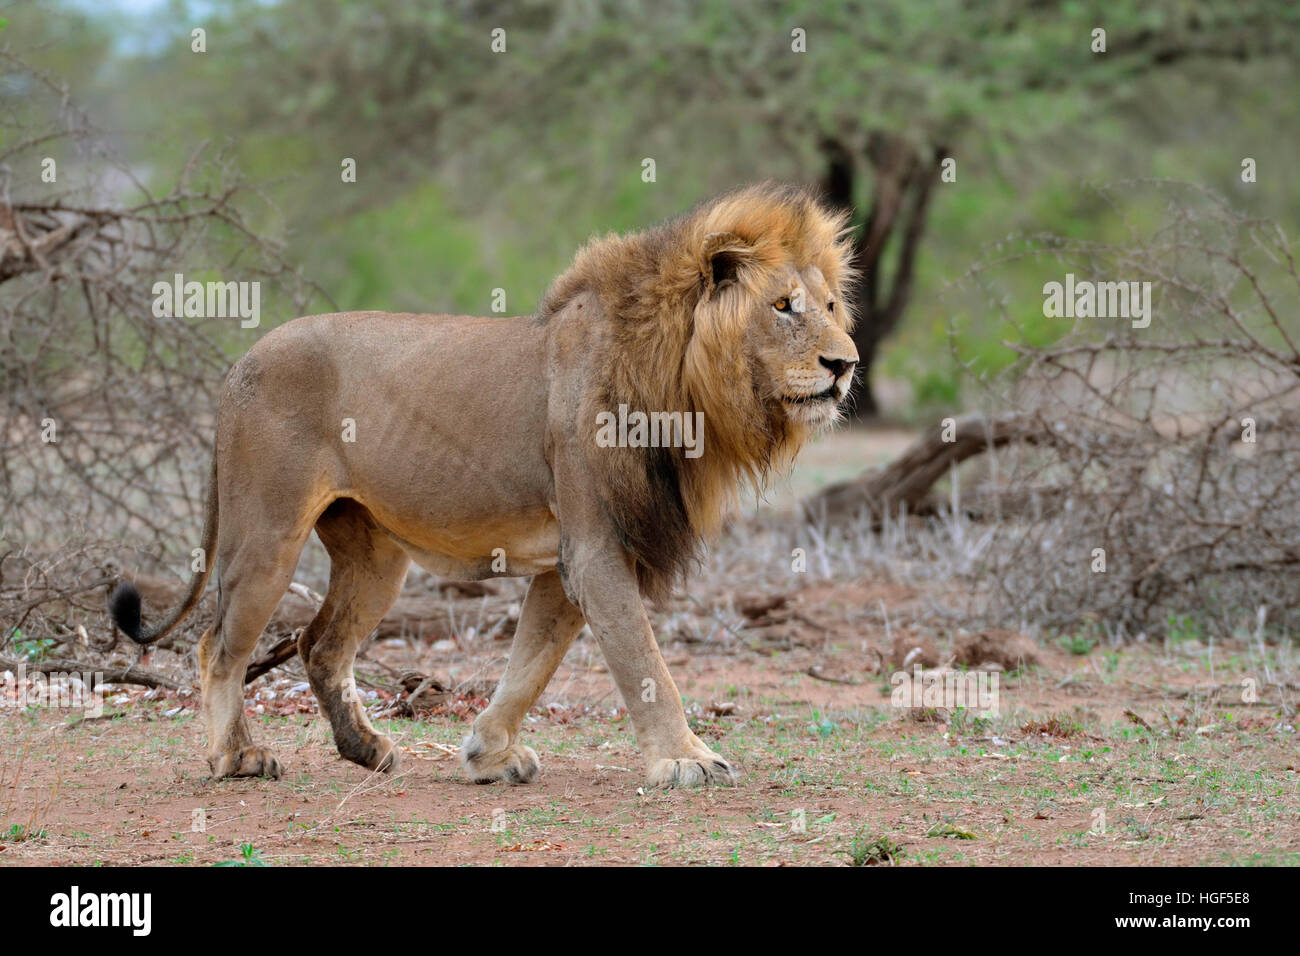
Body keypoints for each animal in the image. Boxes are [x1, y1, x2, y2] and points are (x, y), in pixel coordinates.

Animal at [108, 182, 859, 788]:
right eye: (783, 307)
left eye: (829, 305)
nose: (846, 364)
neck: (684, 384)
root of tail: (240, 361)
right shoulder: (595, 548)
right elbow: (643, 663)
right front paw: (686, 759)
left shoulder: (568, 562)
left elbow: (531, 663)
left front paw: (487, 755)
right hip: (266, 534)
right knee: (218, 645)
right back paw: (237, 757)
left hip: (377, 557)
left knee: (318, 643)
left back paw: (366, 748)